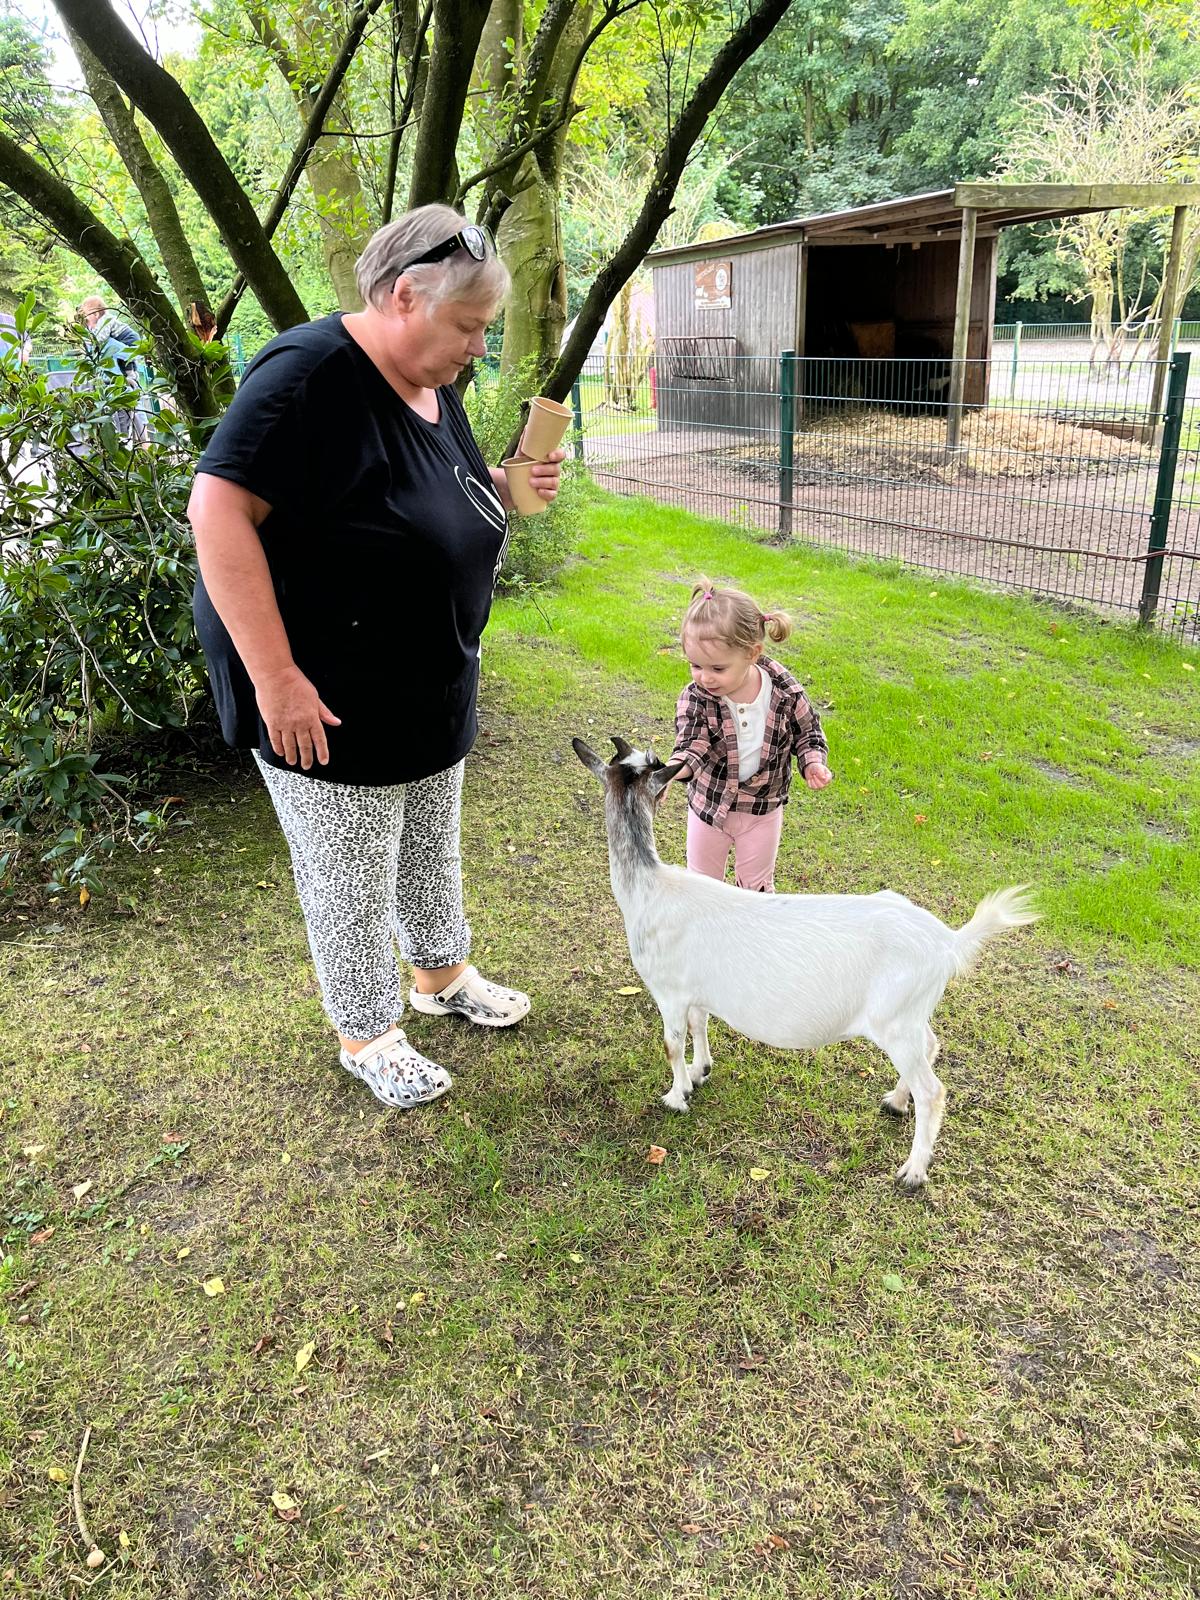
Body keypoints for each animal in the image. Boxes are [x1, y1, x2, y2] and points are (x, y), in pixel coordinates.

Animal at [572, 735, 1037, 1188]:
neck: (648, 888)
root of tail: (948, 941)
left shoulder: (667, 989)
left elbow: (671, 1043)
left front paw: (676, 1097)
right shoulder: (696, 990)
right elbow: (699, 1025)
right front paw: (700, 1071)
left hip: (895, 1021)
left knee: (933, 1090)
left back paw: (913, 1172)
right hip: (909, 1012)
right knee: (930, 1045)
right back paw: (894, 1102)